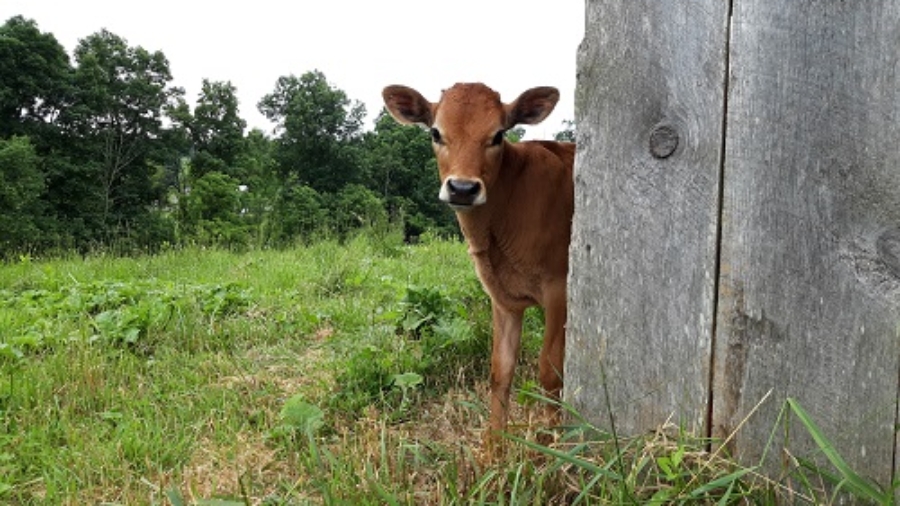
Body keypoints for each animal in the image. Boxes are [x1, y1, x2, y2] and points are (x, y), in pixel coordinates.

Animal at [384, 84, 572, 450]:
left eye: (498, 135)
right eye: (435, 132)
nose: (463, 188)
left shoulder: (560, 288)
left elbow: (549, 371)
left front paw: (552, 449)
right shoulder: (502, 298)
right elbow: (501, 371)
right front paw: (493, 451)